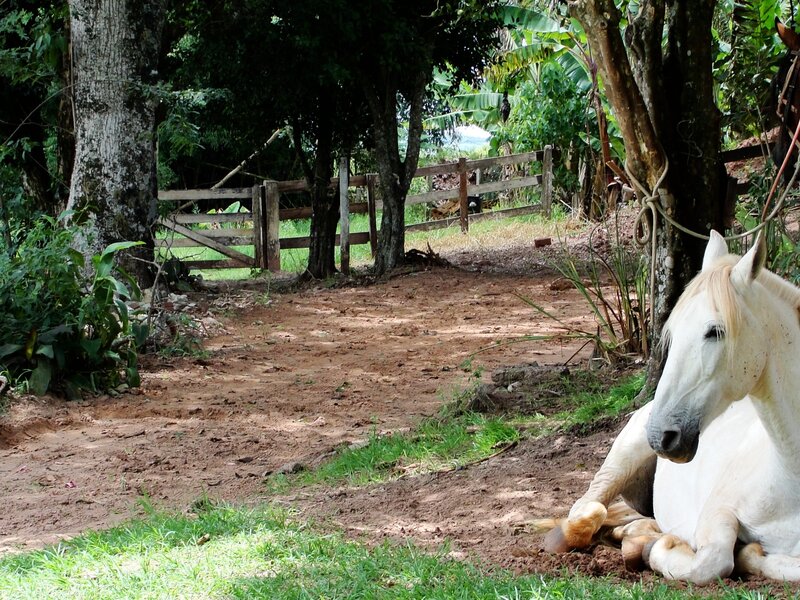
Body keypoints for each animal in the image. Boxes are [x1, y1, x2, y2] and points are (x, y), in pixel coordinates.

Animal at [539, 231, 800, 584]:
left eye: (715, 331)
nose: (661, 435)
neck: (789, 473)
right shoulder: (717, 512)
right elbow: (712, 562)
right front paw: (659, 550)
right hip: (621, 461)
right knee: (584, 512)